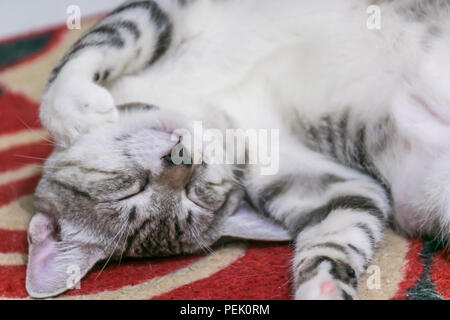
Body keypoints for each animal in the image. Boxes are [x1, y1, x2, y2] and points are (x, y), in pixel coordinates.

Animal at [25, 0, 450, 300]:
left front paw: (73, 112)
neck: (209, 106)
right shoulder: (323, 182)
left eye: (192, 193)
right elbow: (337, 236)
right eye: (133, 190)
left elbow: (88, 50)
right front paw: (323, 287)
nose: (182, 159)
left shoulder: (167, 10)